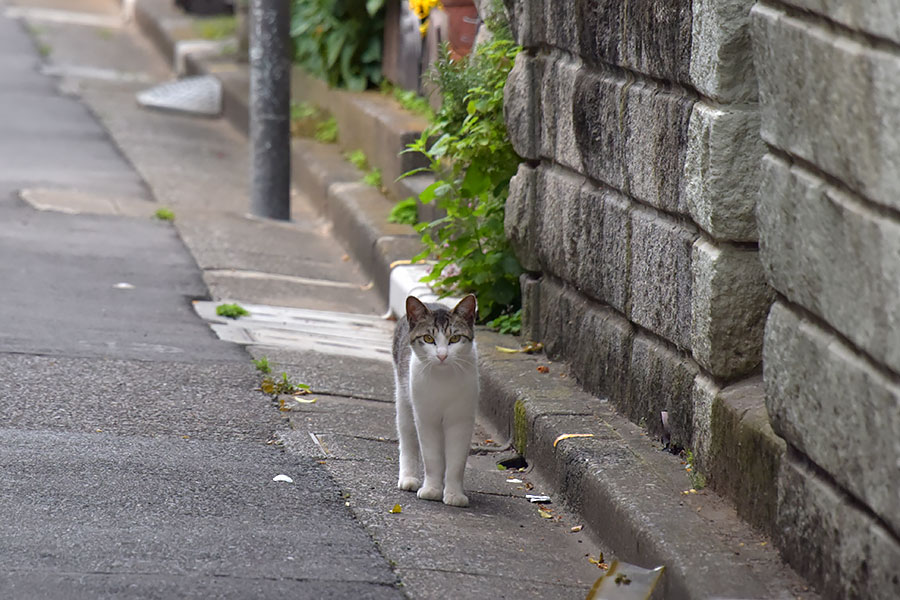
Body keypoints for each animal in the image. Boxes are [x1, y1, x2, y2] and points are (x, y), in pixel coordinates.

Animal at [392, 294, 482, 506]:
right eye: (428, 338)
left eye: (455, 338)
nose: (442, 355)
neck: (443, 379)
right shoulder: (426, 419)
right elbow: (432, 457)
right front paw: (432, 489)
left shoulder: (461, 420)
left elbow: (456, 461)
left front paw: (454, 494)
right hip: (404, 399)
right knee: (407, 439)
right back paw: (409, 478)